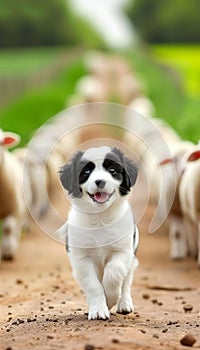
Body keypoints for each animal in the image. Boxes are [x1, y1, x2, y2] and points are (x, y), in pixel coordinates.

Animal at [57, 145, 139, 320]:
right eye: (86, 172)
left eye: (113, 170)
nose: (100, 181)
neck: (100, 218)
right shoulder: (81, 259)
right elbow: (93, 285)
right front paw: (99, 309)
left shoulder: (123, 251)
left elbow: (114, 272)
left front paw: (111, 298)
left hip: (132, 258)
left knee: (127, 279)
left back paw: (124, 303)